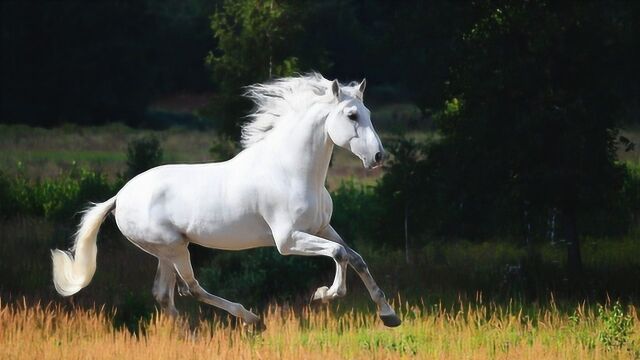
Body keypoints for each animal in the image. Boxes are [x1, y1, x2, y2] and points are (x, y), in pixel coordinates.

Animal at [52, 72, 400, 326]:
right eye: (352, 115)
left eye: (368, 113)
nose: (378, 157)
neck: (291, 170)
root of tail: (120, 197)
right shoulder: (287, 240)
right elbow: (339, 254)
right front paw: (325, 294)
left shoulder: (321, 228)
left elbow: (355, 257)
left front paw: (389, 315)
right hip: (174, 248)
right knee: (190, 288)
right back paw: (251, 319)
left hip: (166, 251)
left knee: (165, 294)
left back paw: (191, 337)